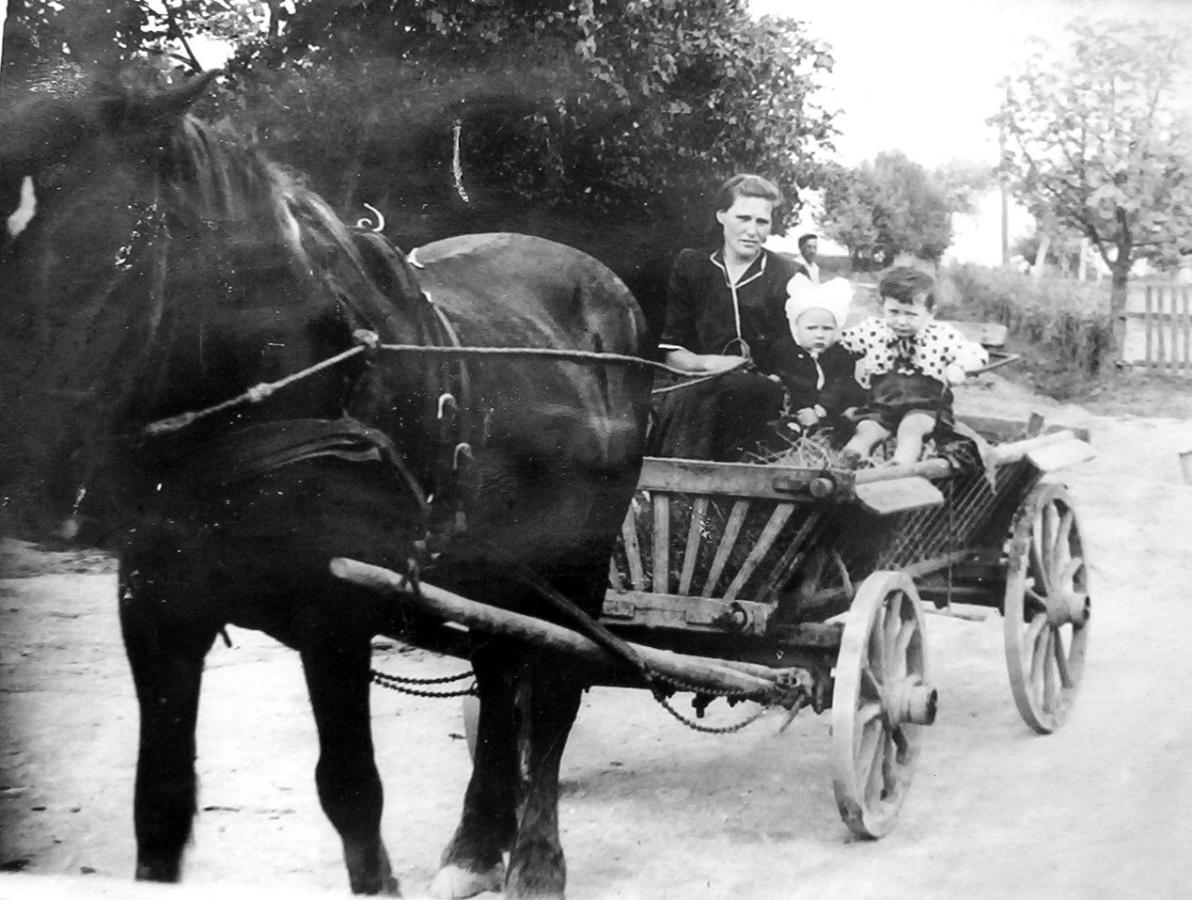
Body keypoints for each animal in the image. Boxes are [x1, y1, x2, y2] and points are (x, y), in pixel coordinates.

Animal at [0, 73, 653, 896]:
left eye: (104, 252)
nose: (31, 488)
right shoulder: (154, 604)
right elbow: (160, 799)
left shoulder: (334, 609)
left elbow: (349, 788)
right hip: (495, 567)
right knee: (501, 670)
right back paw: (477, 845)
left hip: (580, 558)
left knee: (558, 689)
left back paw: (536, 860)